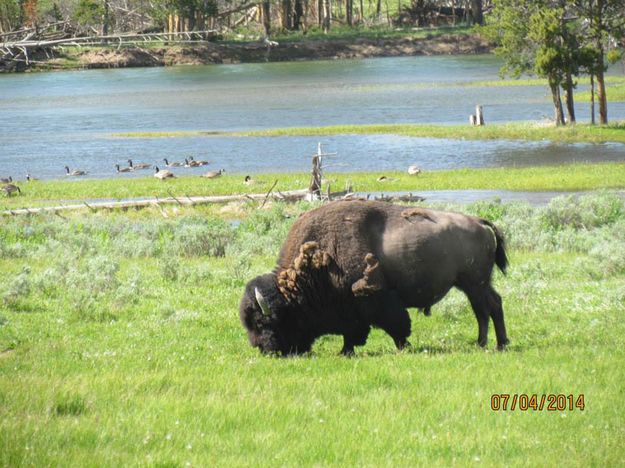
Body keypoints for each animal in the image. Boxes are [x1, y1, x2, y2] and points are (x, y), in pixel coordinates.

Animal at [239, 199, 508, 356]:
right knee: (489, 307)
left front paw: (402, 348)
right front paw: (346, 351)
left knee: (487, 308)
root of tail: (480, 222)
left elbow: (395, 325)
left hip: (474, 284)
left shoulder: (375, 299)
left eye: (264, 322)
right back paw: (491, 343)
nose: (265, 350)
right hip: (473, 284)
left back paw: (492, 344)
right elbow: (354, 332)